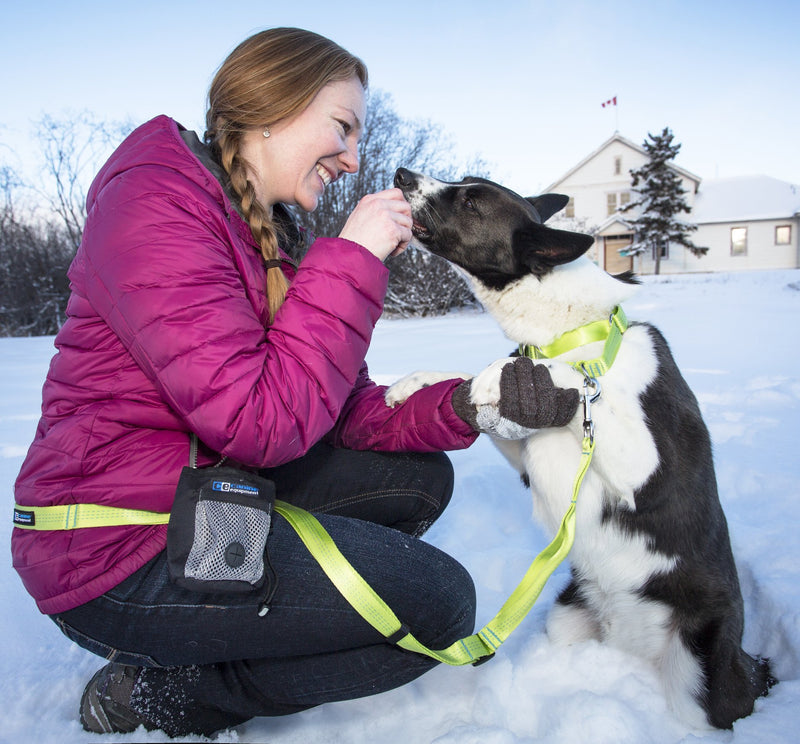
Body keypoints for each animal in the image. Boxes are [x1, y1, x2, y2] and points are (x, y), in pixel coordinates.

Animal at [388, 167, 776, 728]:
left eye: (471, 199)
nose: (402, 175)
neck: (570, 333)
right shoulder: (525, 450)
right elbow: (472, 382)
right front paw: (415, 384)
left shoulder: (648, 467)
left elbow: (557, 378)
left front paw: (498, 376)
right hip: (568, 618)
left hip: (699, 681)